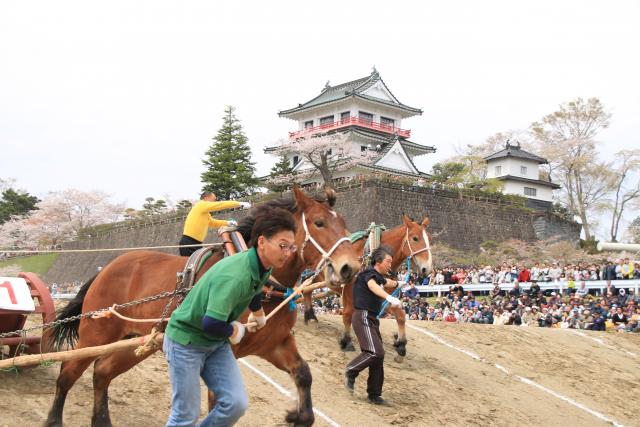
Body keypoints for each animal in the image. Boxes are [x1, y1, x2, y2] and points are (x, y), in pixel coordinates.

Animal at [46, 188, 360, 427]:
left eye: (343, 222)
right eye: (319, 223)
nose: (350, 267)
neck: (264, 281)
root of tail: (106, 268)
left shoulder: (274, 344)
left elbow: (304, 375)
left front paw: (297, 414)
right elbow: (215, 403)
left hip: (138, 341)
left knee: (102, 372)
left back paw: (101, 420)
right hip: (96, 334)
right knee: (67, 373)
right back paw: (54, 419)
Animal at [302, 216, 432, 360]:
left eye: (430, 239)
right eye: (415, 238)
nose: (427, 269)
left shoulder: (382, 298)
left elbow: (401, 316)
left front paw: (401, 344)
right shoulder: (350, 293)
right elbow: (347, 315)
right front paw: (347, 341)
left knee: (306, 289)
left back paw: (310, 315)